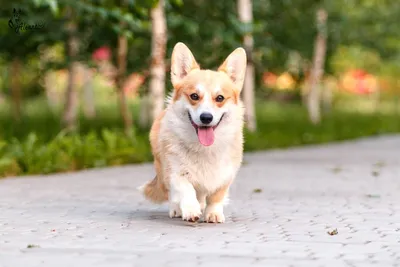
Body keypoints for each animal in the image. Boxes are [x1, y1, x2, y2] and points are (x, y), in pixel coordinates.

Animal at [141, 42, 247, 224]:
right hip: (162, 170)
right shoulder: (176, 172)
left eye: (220, 98)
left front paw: (213, 214)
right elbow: (186, 190)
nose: (206, 117)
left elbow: (216, 197)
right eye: (194, 96)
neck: (204, 148)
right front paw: (191, 210)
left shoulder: (225, 175)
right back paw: (177, 209)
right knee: (173, 195)